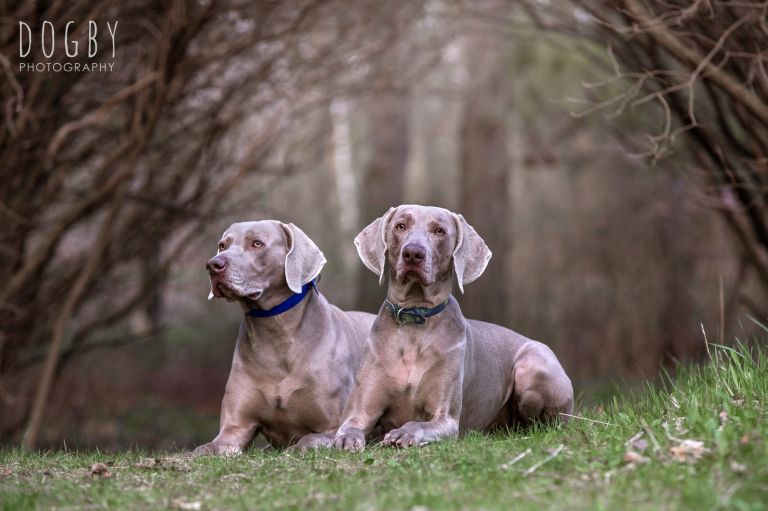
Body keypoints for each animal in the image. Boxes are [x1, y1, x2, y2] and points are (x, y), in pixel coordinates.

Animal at [191, 222, 372, 454]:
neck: (276, 337)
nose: (213, 264)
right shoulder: (234, 428)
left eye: (257, 243)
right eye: (222, 245)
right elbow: (205, 449)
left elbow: (306, 440)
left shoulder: (333, 426)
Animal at [332, 206, 572, 450]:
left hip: (532, 365)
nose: (413, 253)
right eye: (400, 226)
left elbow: (417, 423)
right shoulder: (360, 411)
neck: (414, 320)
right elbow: (349, 427)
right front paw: (345, 440)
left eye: (440, 231)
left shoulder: (446, 418)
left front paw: (403, 433)